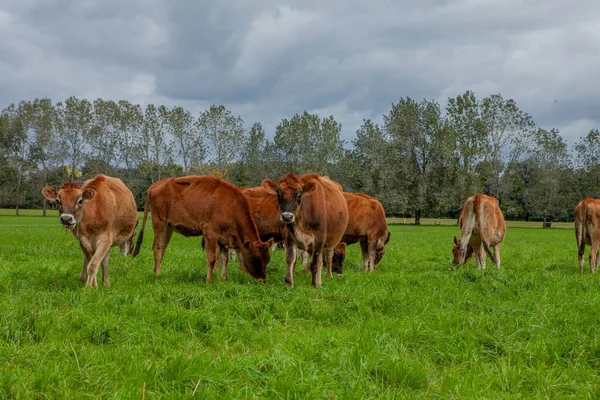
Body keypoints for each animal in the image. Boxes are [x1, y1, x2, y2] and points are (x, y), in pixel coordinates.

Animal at [132, 177, 274, 282]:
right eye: (255, 259)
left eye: (267, 260)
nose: (262, 280)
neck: (231, 205)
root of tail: (154, 186)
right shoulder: (210, 233)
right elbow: (211, 258)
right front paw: (209, 280)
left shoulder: (223, 240)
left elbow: (224, 259)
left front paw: (223, 279)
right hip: (159, 223)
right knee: (157, 248)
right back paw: (158, 274)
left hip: (168, 228)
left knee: (161, 247)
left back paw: (156, 271)